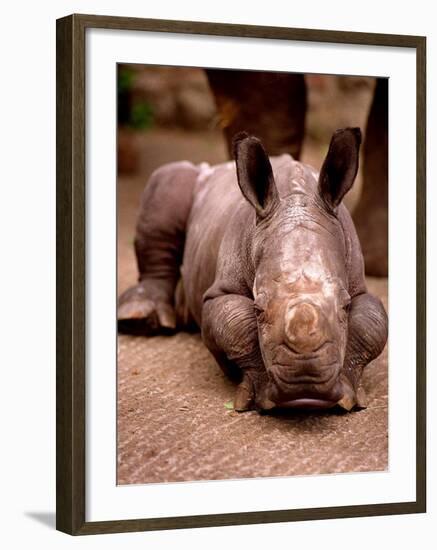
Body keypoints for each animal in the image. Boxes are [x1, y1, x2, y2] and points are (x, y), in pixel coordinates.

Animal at [117, 129, 386, 414]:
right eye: (258, 309)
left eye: (345, 306)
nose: (305, 393)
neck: (298, 199)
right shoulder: (221, 291)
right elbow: (237, 326)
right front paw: (260, 396)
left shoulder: (358, 283)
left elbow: (371, 325)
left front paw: (347, 396)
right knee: (170, 180)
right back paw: (139, 319)